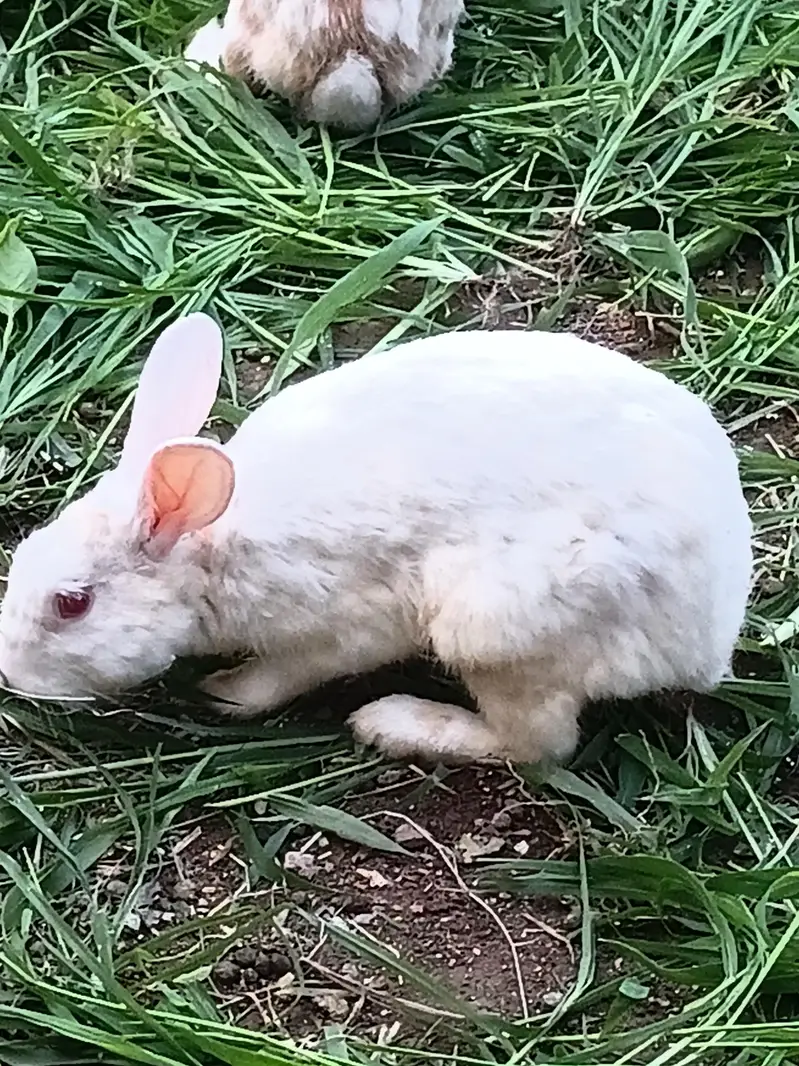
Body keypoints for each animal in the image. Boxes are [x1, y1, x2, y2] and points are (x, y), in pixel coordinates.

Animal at [0, 313, 752, 765]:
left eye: (72, 604)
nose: (11, 676)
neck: (213, 548)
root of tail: (704, 643)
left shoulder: (337, 629)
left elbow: (283, 676)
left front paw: (226, 692)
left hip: (494, 629)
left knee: (537, 745)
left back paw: (392, 722)